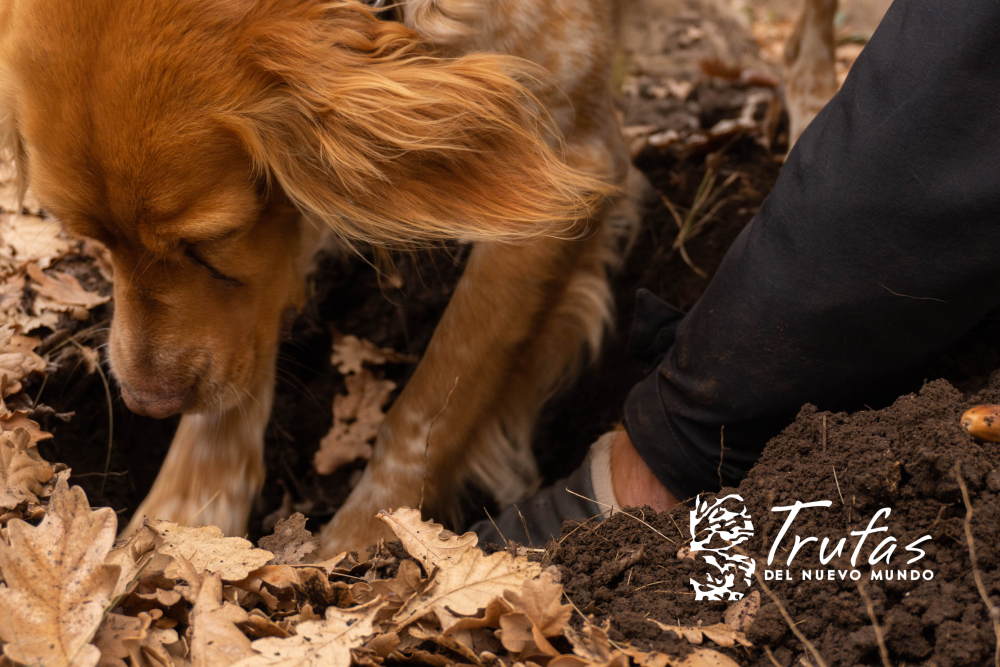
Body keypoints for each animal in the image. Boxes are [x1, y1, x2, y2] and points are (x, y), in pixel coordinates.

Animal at [0, 0, 624, 552]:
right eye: (93, 239)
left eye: (209, 242)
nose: (146, 404)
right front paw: (184, 523)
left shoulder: (563, 168)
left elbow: (437, 400)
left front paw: (367, 546)